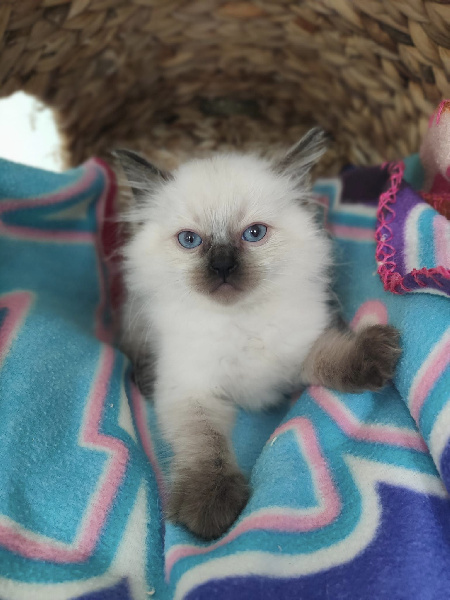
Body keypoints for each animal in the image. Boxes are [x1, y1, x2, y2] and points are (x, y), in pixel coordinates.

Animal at [113, 129, 400, 540]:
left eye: (254, 233)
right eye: (190, 240)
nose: (222, 267)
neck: (240, 322)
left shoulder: (294, 355)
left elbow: (327, 356)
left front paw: (375, 354)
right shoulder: (191, 392)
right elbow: (206, 445)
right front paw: (209, 509)